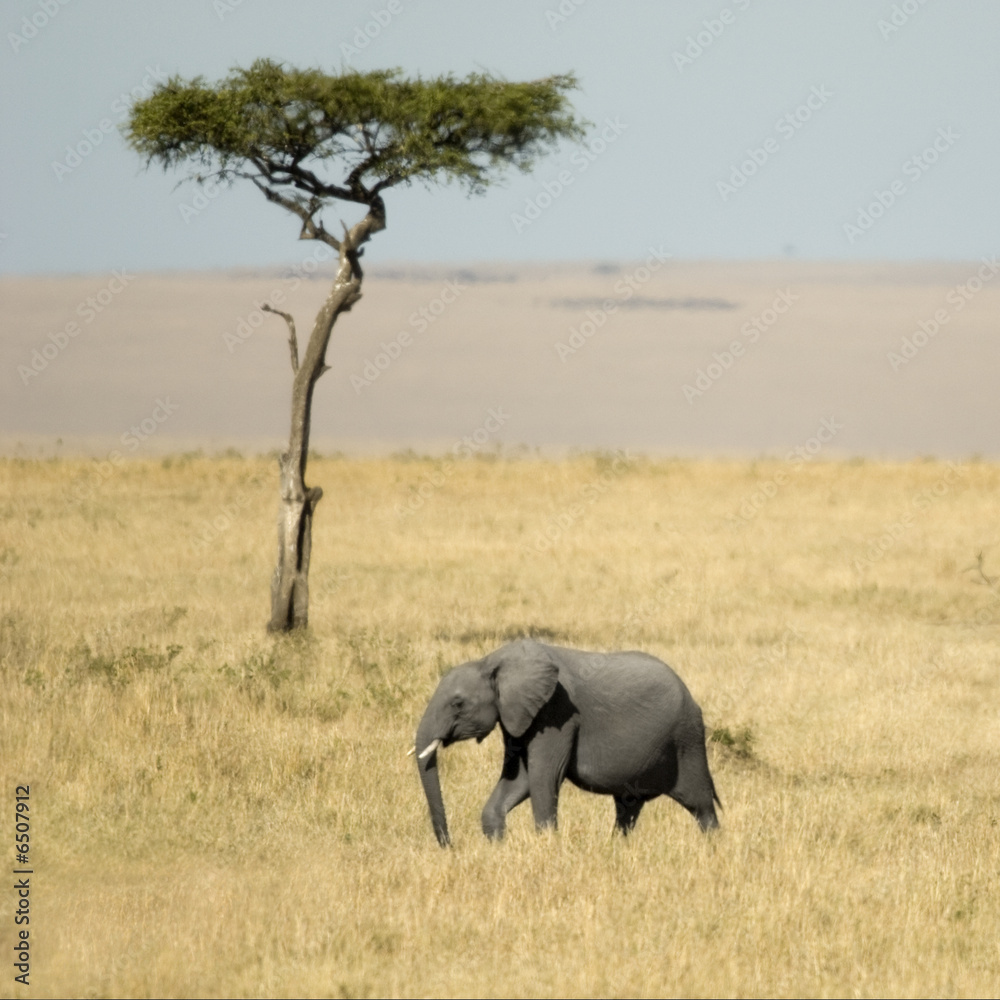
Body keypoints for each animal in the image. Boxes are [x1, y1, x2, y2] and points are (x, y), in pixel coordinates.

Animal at [413, 638, 720, 846]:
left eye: (457, 703)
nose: (450, 847)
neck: (490, 661)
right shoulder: (519, 716)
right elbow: (519, 778)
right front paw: (498, 846)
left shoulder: (556, 712)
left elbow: (543, 776)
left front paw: (546, 845)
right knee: (627, 808)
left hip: (686, 741)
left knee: (702, 805)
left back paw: (712, 851)